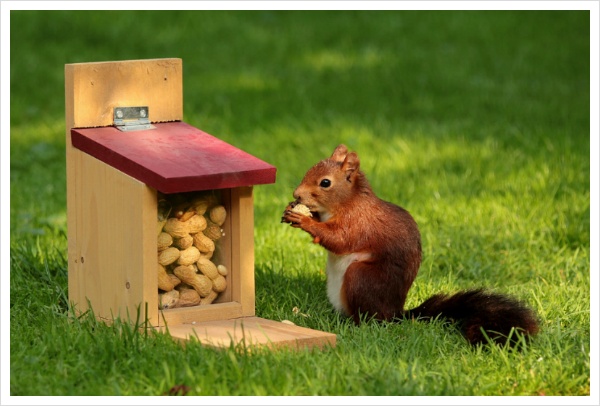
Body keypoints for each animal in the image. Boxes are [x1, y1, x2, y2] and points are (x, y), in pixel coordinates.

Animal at [282, 144, 540, 344]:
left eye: (325, 183)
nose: (296, 194)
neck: (348, 202)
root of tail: (396, 313)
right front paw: (294, 211)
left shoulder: (359, 223)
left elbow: (339, 240)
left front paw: (304, 220)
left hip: (361, 278)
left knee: (371, 319)